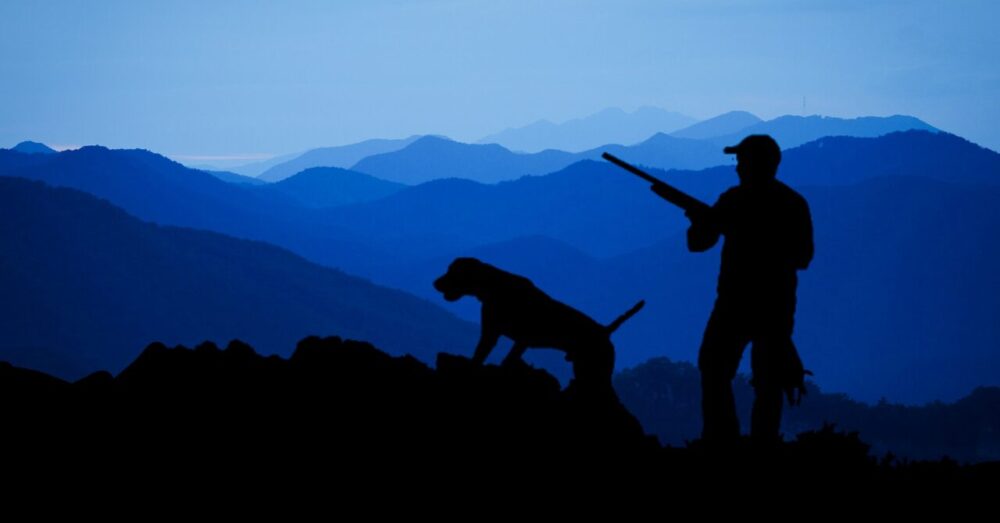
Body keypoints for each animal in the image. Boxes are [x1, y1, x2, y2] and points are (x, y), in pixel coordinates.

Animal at [434, 258, 644, 388]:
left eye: (452, 271)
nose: (434, 283)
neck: (494, 287)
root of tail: (605, 330)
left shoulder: (514, 339)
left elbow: (498, 359)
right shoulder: (494, 334)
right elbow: (481, 355)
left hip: (595, 372)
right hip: (583, 369)